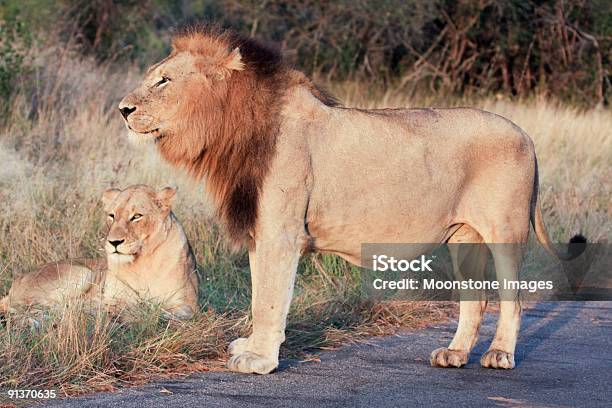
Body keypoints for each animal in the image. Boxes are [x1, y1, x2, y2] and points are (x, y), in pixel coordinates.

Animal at [0, 183, 198, 320]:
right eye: (112, 215)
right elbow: (126, 305)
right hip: (81, 272)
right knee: (31, 307)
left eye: (137, 216)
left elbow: (164, 310)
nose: (114, 242)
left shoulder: (187, 304)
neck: (142, 260)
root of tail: (15, 282)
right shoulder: (115, 298)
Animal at [118, 27, 584, 372]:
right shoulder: (260, 231)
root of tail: (526, 135)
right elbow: (258, 294)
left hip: (505, 229)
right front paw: (250, 346)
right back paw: (453, 354)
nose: (122, 109)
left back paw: (499, 354)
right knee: (477, 298)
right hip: (464, 238)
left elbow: (269, 298)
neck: (232, 131)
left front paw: (259, 360)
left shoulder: (281, 233)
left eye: (164, 80)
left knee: (513, 298)